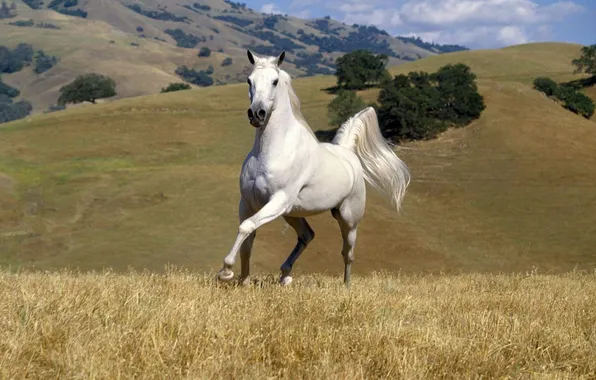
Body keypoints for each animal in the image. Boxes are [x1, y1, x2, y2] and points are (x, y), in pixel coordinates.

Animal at [218, 50, 410, 286]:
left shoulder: (278, 200)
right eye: (249, 80)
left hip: (348, 218)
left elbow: (246, 227)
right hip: (291, 213)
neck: (269, 152)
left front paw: (226, 271)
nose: (257, 114)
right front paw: (243, 281)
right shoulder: (248, 203)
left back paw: (346, 286)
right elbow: (247, 239)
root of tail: (346, 152)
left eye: (275, 81)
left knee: (348, 253)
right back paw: (285, 275)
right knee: (307, 235)